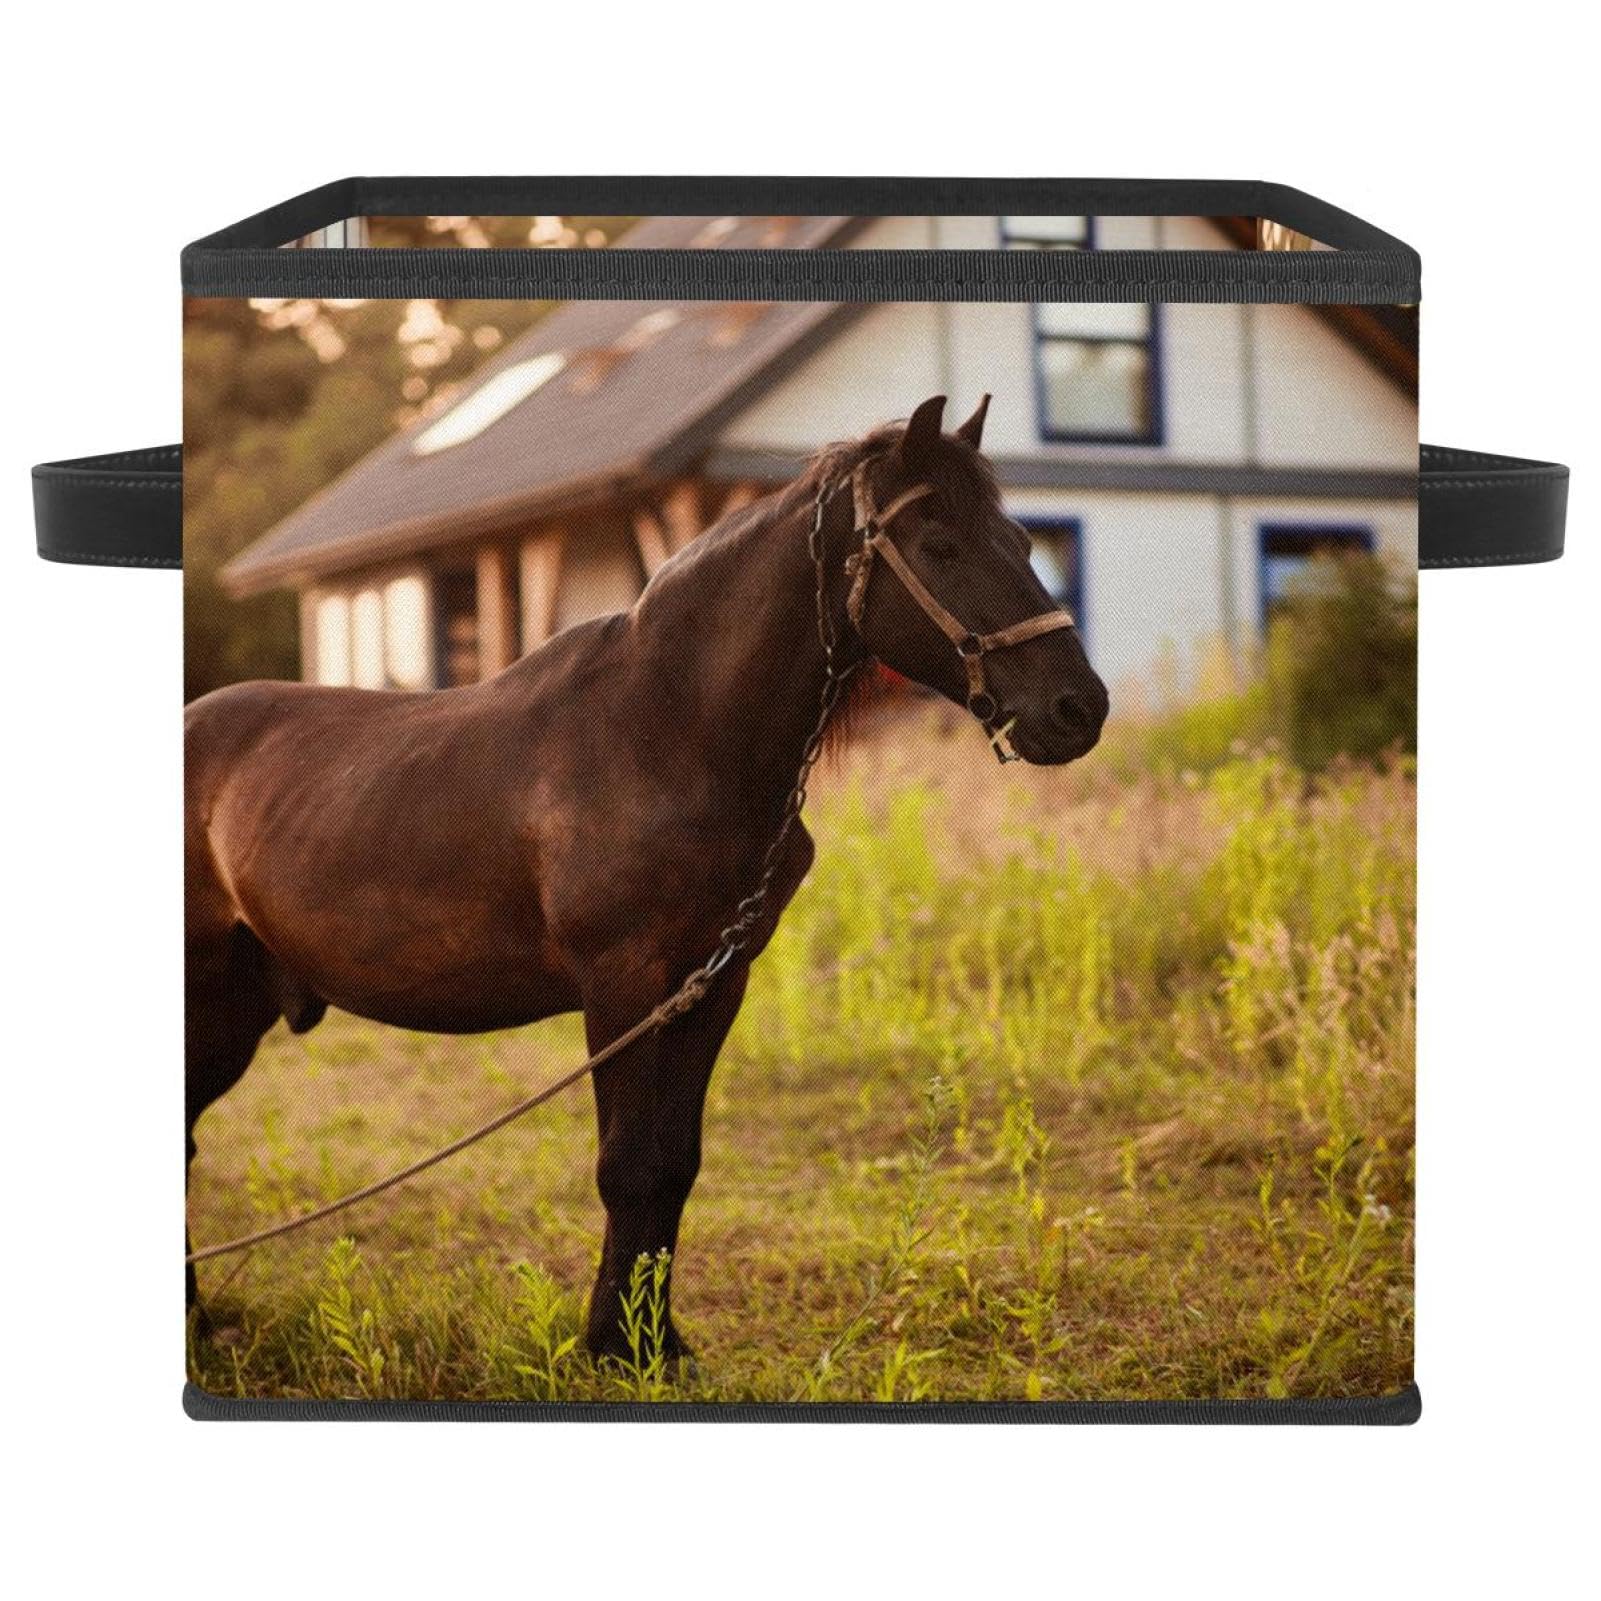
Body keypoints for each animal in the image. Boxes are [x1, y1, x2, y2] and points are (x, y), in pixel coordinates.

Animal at [185, 394, 1110, 1358]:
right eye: (939, 543)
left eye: (1021, 537)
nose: (1077, 708)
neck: (668, 732)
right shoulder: (620, 983)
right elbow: (626, 1165)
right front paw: (612, 1345)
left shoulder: (712, 984)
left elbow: (673, 1164)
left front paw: (656, 1343)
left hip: (236, 1006)